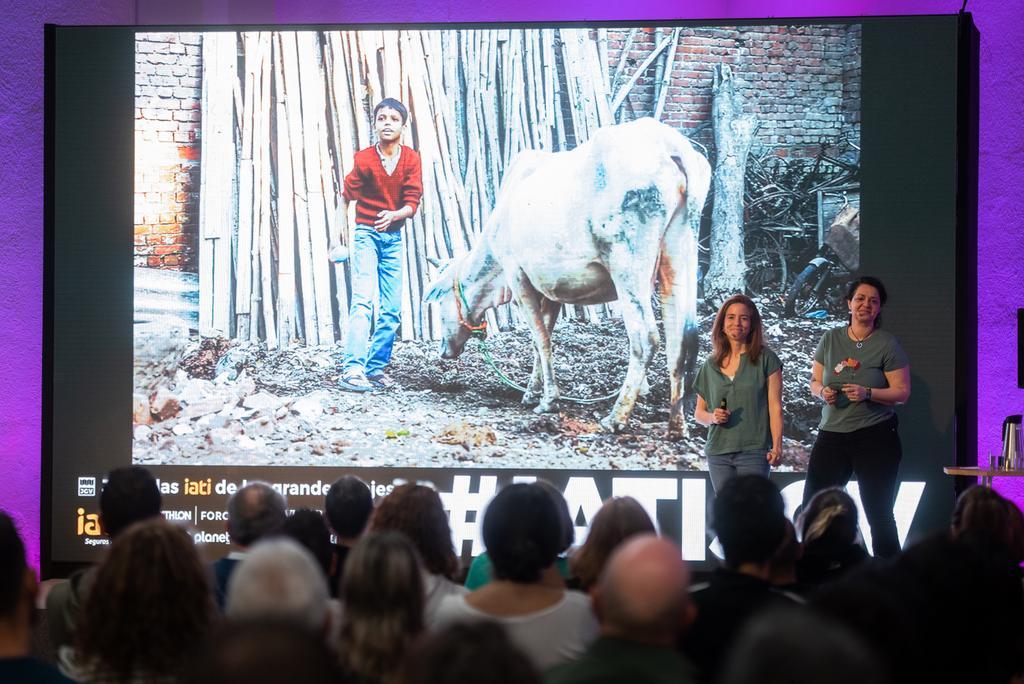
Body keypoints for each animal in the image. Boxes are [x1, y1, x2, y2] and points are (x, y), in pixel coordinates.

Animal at [423, 117, 712, 438]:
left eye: (439, 306)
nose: (443, 350)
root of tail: (673, 146)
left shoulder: (518, 276)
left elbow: (541, 340)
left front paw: (548, 400)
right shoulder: (552, 291)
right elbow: (540, 338)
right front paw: (531, 393)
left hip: (628, 264)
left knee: (646, 337)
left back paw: (616, 417)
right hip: (680, 252)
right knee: (682, 338)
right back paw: (677, 425)